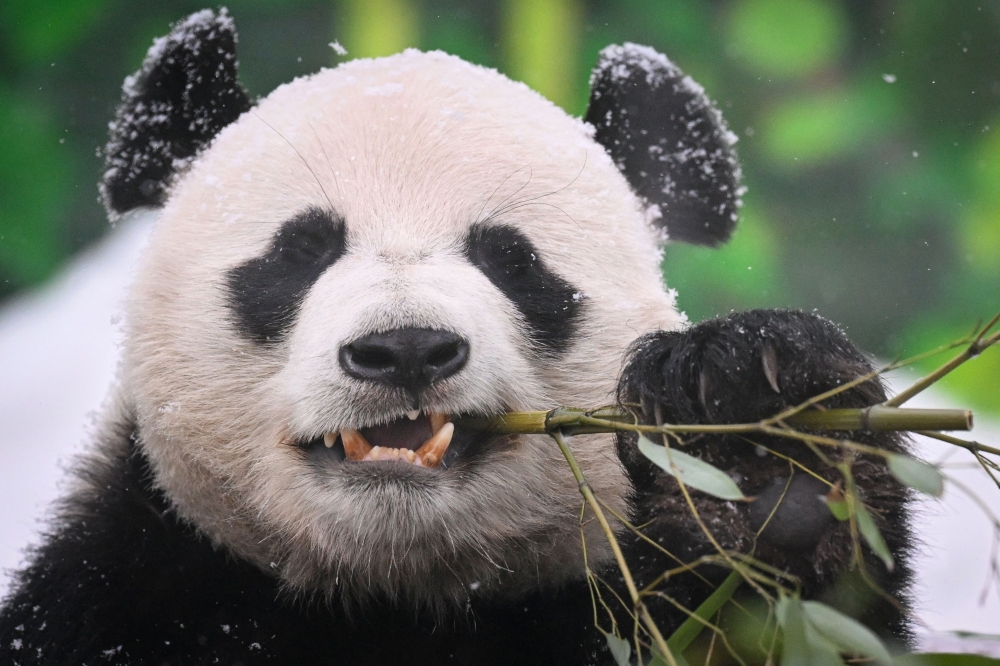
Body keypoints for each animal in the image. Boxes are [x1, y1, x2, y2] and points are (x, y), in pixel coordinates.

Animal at [0, 9, 913, 665]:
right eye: (300, 253)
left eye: (513, 260)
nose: (404, 349)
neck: (393, 593)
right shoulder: (128, 589)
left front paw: (756, 428)